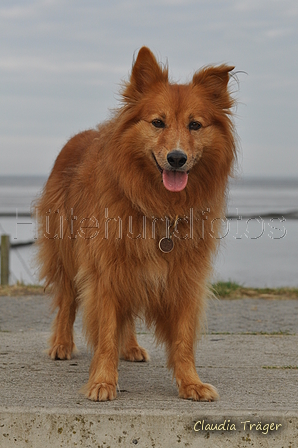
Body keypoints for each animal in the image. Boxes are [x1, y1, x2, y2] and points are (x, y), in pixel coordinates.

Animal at [35, 47, 235, 400]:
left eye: (195, 125)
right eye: (158, 122)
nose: (177, 158)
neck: (158, 206)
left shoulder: (184, 276)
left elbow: (183, 338)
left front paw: (191, 383)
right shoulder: (104, 270)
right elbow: (105, 330)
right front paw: (102, 381)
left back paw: (129, 348)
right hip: (67, 253)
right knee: (67, 301)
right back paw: (62, 343)